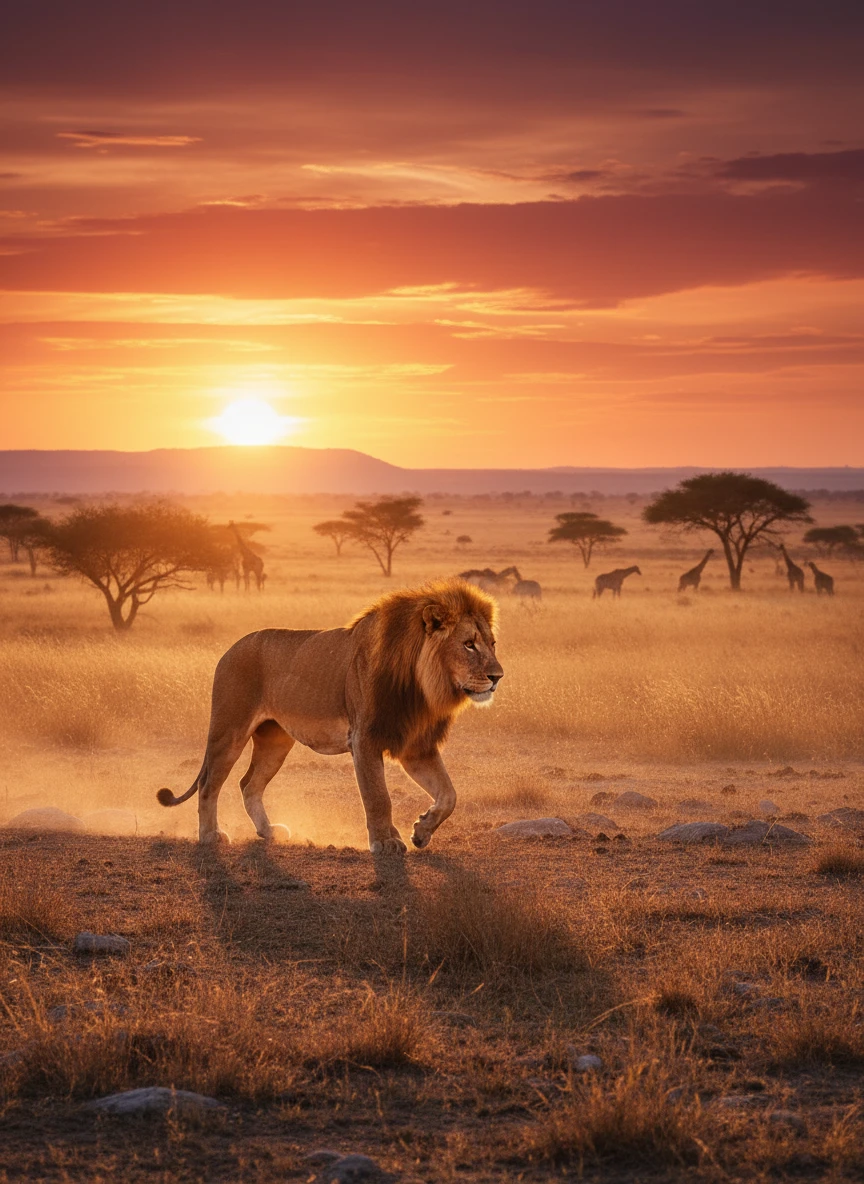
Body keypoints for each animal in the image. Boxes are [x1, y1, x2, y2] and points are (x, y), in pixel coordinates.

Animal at [157, 578, 503, 851]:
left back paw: (269, 832)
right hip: (228, 730)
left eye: (493, 643)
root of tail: (229, 649)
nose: (498, 676)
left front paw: (421, 831)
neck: (422, 687)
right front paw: (385, 841)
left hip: (275, 741)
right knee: (209, 785)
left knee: (249, 784)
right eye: (469, 644)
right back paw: (210, 836)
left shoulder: (415, 746)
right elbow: (378, 797)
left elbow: (449, 795)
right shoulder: (365, 739)